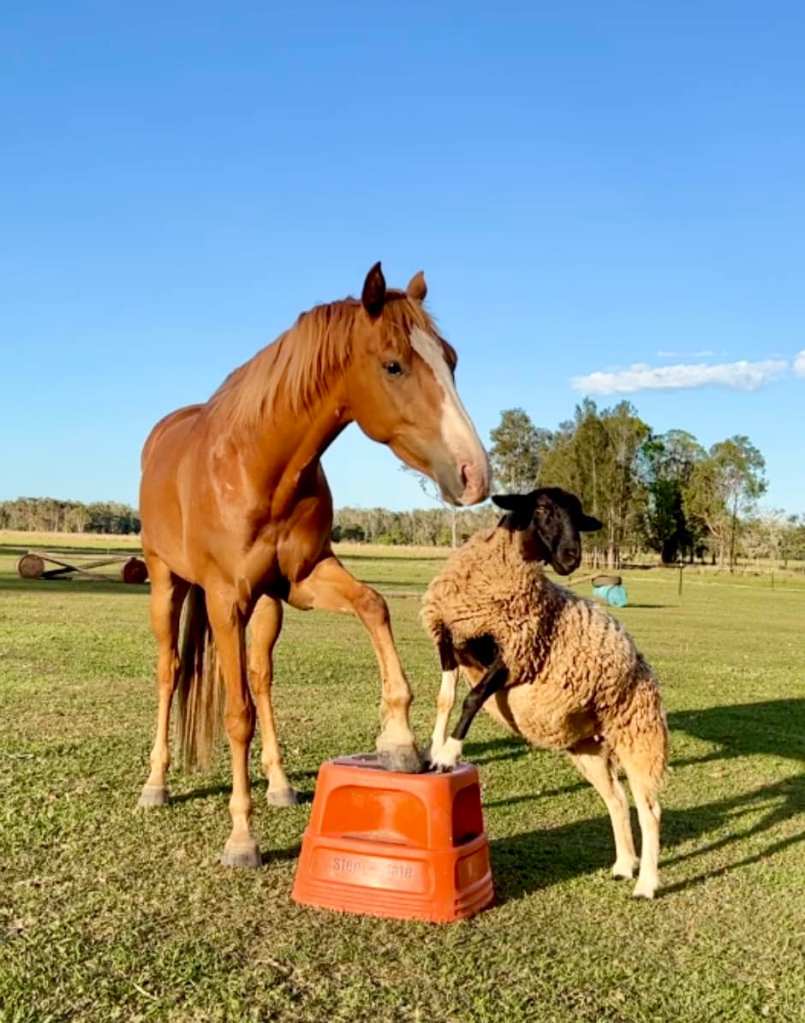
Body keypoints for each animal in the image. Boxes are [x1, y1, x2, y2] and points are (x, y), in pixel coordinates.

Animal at [137, 262, 490, 867]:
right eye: (393, 364)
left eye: (451, 359)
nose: (474, 474)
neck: (257, 464)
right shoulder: (224, 599)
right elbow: (236, 715)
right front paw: (241, 837)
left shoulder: (303, 580)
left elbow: (373, 606)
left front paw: (398, 739)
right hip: (168, 584)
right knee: (171, 671)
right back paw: (156, 784)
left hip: (268, 608)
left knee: (262, 677)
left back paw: (279, 784)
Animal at [421, 487, 668, 899]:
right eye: (541, 509)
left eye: (578, 516)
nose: (572, 557)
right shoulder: (450, 640)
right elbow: (446, 698)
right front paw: (436, 749)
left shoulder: (516, 653)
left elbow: (473, 698)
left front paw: (450, 752)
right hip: (588, 748)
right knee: (616, 799)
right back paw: (623, 865)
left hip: (639, 735)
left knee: (650, 810)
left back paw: (646, 883)